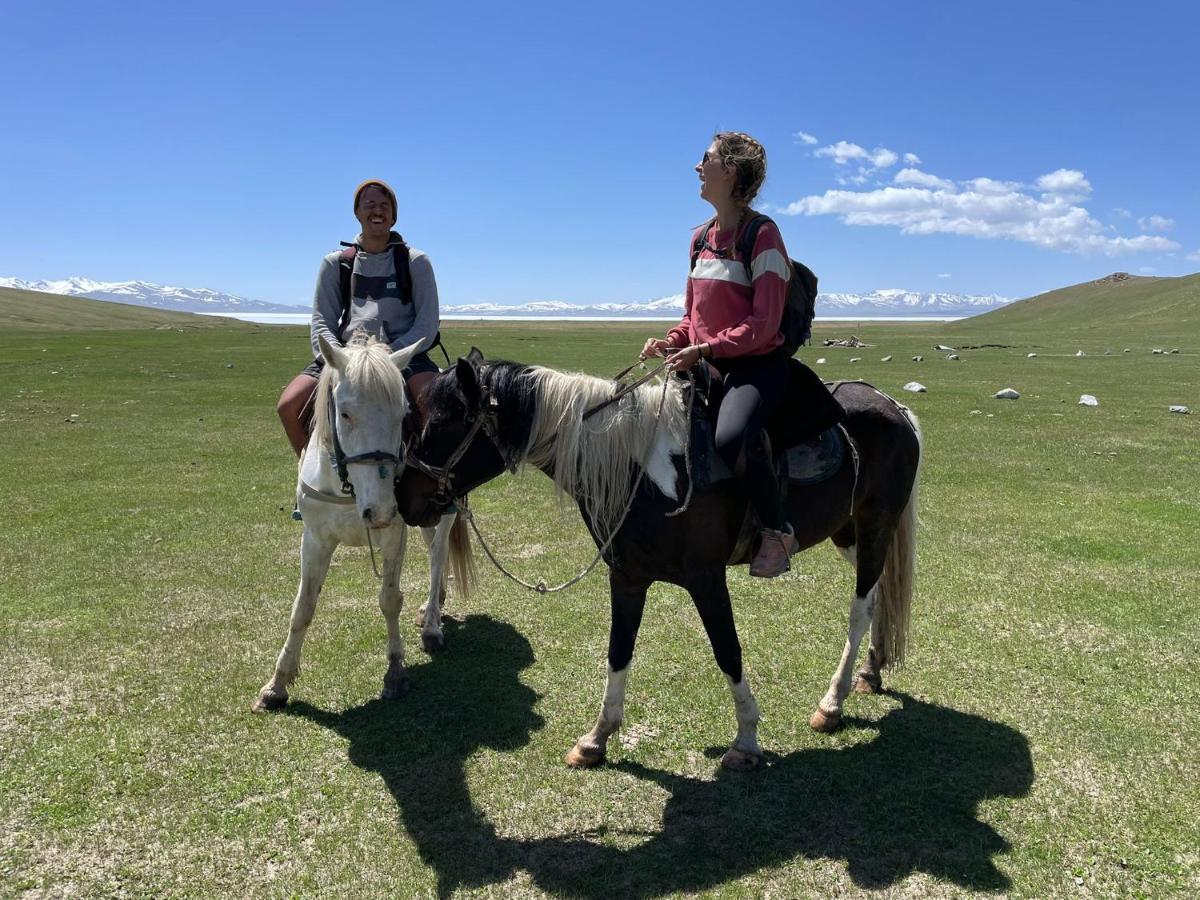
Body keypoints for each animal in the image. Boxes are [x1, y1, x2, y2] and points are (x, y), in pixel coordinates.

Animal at [253, 331, 472, 710]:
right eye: (345, 413)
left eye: (404, 414)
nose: (380, 509)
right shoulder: (315, 538)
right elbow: (303, 607)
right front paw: (277, 684)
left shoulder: (394, 535)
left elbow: (389, 599)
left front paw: (395, 673)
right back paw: (433, 608)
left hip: (443, 512)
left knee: (437, 555)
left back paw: (432, 625)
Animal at [398, 348, 921, 772]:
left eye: (437, 424)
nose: (405, 499)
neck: (641, 469)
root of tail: (895, 407)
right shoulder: (628, 577)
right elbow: (618, 651)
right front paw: (595, 740)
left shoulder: (706, 578)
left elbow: (728, 651)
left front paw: (746, 741)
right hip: (846, 533)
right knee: (878, 597)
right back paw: (870, 672)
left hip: (875, 527)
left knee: (860, 607)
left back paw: (832, 704)